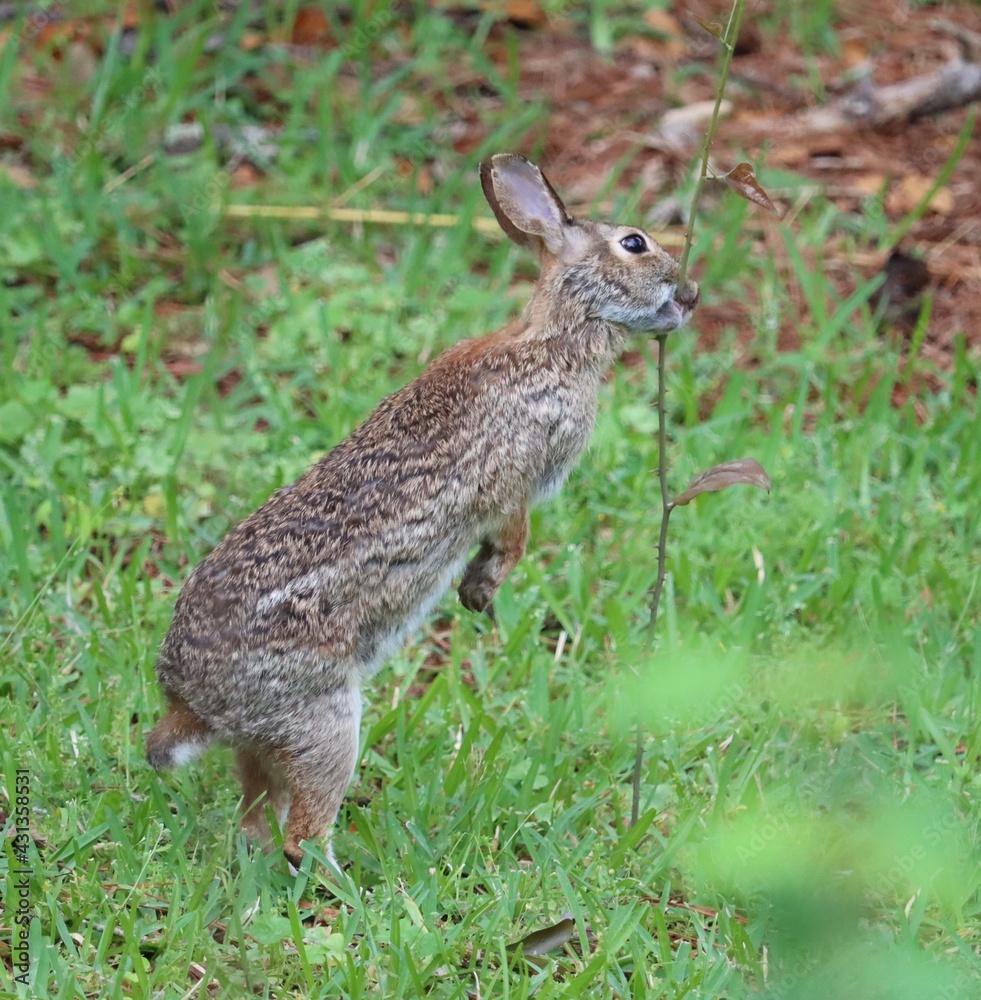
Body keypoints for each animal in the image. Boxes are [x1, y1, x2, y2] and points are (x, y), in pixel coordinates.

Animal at [146, 153, 699, 870]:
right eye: (635, 243)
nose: (689, 295)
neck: (554, 339)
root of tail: (194, 703)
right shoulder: (513, 486)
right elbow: (511, 540)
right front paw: (481, 593)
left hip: (264, 743)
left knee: (256, 819)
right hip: (323, 720)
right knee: (301, 832)